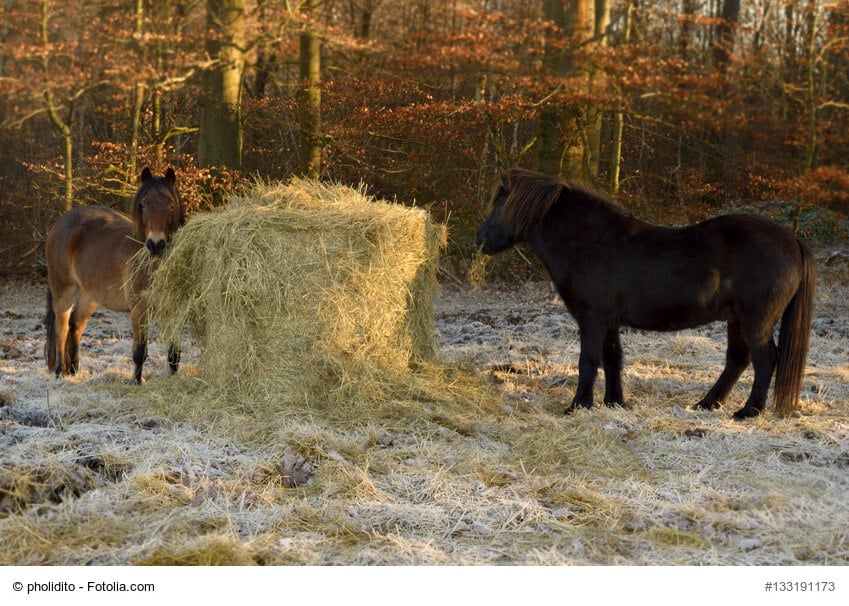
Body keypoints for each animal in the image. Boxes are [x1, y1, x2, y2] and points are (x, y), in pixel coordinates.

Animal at [44, 167, 185, 384]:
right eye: (143, 205)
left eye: (170, 205)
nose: (156, 244)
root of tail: (60, 223)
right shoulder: (139, 309)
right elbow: (140, 351)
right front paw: (137, 382)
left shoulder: (174, 309)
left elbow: (174, 353)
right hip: (64, 292)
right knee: (62, 329)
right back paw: (60, 372)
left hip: (89, 296)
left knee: (76, 326)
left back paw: (74, 371)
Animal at [475, 168, 816, 419]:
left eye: (501, 203)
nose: (479, 240)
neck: (592, 242)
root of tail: (792, 240)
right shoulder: (609, 321)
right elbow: (613, 359)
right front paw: (614, 402)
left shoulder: (591, 319)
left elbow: (588, 361)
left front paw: (577, 406)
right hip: (736, 319)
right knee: (738, 360)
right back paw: (708, 403)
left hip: (757, 319)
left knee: (764, 359)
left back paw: (749, 411)